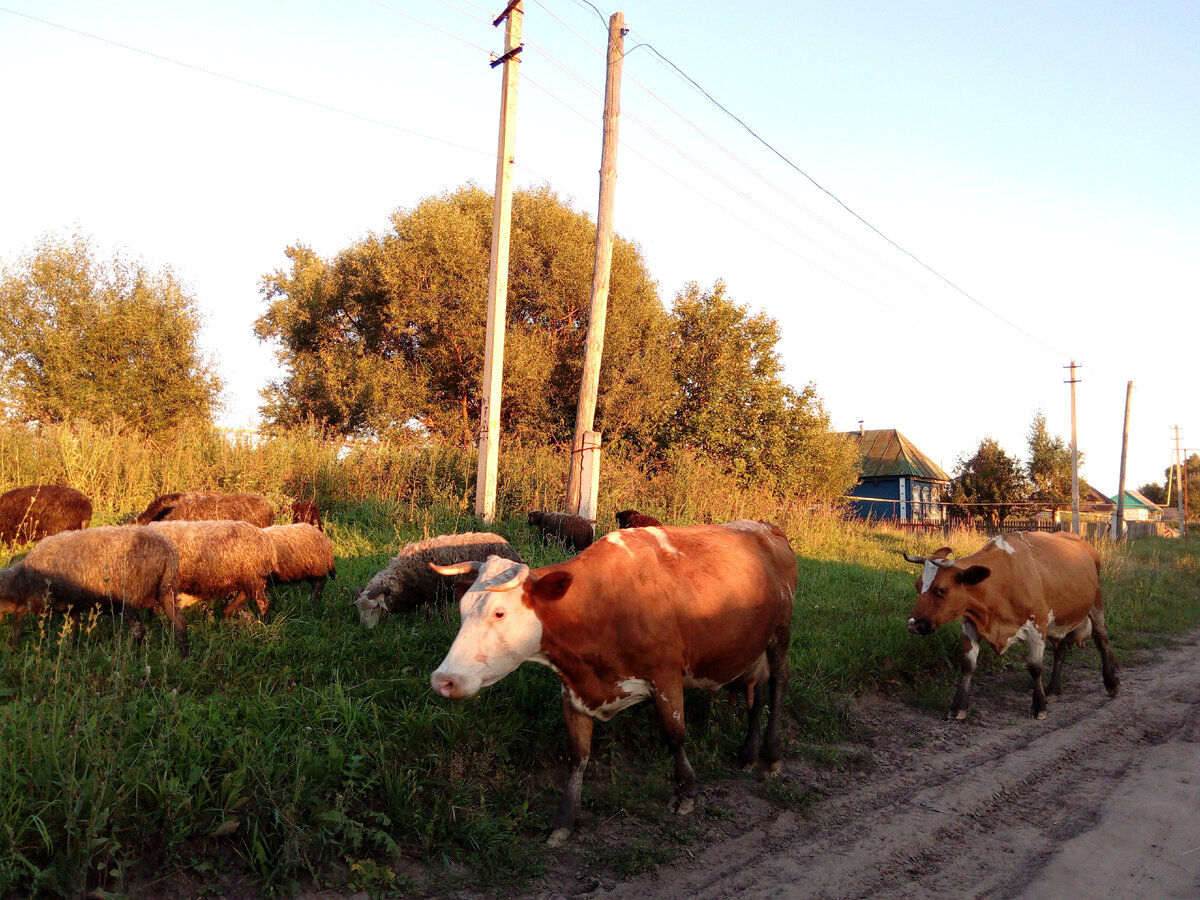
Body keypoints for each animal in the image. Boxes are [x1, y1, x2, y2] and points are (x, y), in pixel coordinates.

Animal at [429, 521, 797, 845]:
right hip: (753, 647)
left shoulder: (665, 676)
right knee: (757, 694)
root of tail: (765, 528)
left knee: (778, 686)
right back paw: (748, 753)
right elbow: (577, 754)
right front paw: (564, 820)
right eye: (462, 609)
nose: (442, 680)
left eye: (499, 613)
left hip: (780, 634)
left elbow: (674, 736)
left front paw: (686, 792)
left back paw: (771, 756)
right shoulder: (573, 689)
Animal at [903, 531, 1120, 720]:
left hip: (1096, 604)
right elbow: (968, 666)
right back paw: (1052, 690)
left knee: (1102, 639)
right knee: (1060, 651)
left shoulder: (1037, 626)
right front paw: (958, 707)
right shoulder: (970, 624)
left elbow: (1035, 667)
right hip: (1061, 619)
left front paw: (1039, 707)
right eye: (917, 586)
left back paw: (1111, 683)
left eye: (942, 590)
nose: (913, 625)